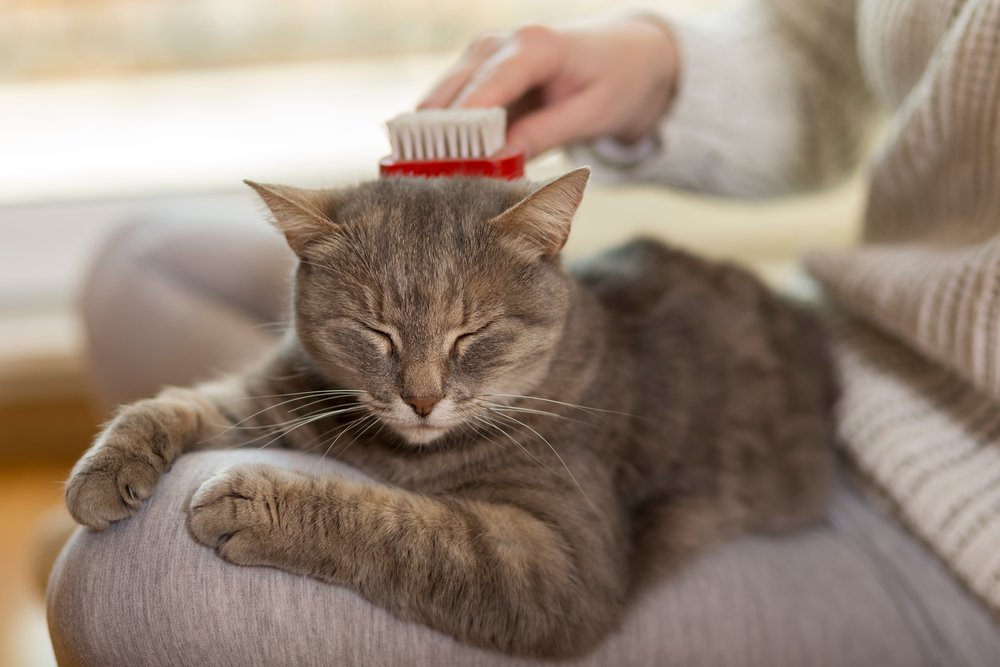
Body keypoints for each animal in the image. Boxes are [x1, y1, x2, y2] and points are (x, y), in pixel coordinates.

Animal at [62, 170, 836, 660]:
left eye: (472, 333)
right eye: (375, 332)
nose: (423, 396)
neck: (401, 453)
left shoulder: (560, 562)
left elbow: (410, 527)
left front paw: (261, 503)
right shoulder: (274, 399)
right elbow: (173, 402)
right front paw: (103, 470)